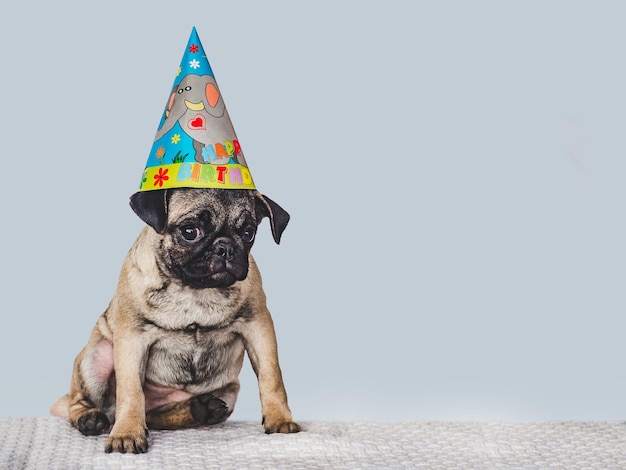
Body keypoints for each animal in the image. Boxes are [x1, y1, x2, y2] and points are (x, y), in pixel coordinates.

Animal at [50, 186, 298, 452]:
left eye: (248, 233)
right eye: (190, 232)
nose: (225, 247)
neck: (193, 289)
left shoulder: (258, 326)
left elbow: (271, 377)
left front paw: (280, 419)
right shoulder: (132, 339)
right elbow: (131, 392)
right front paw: (127, 433)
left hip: (228, 394)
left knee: (155, 416)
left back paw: (201, 409)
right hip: (96, 357)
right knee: (80, 402)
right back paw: (90, 419)